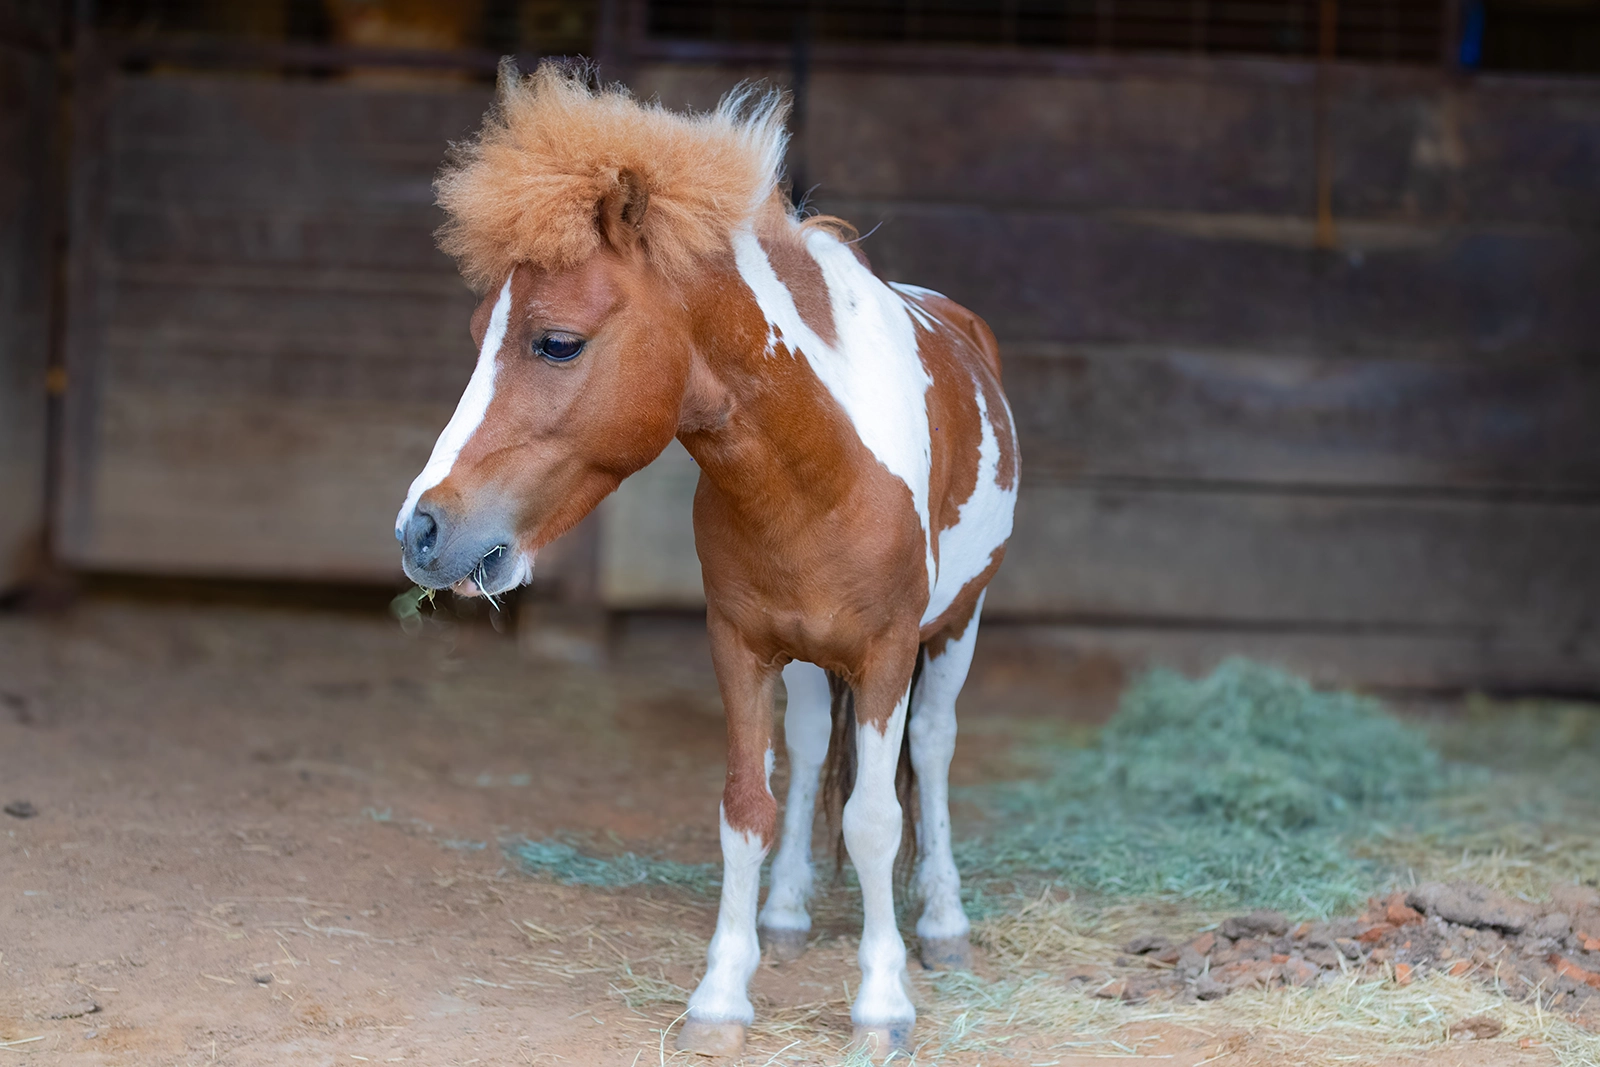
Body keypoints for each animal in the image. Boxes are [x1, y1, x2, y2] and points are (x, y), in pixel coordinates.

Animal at [395, 61, 1018, 1059]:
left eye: (556, 340)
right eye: (477, 329)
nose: (421, 530)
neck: (821, 464)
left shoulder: (886, 651)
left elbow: (877, 818)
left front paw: (882, 1005)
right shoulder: (742, 644)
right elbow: (746, 808)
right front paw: (723, 995)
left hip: (956, 626)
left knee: (933, 747)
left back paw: (944, 926)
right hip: (805, 658)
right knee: (811, 749)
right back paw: (789, 915)